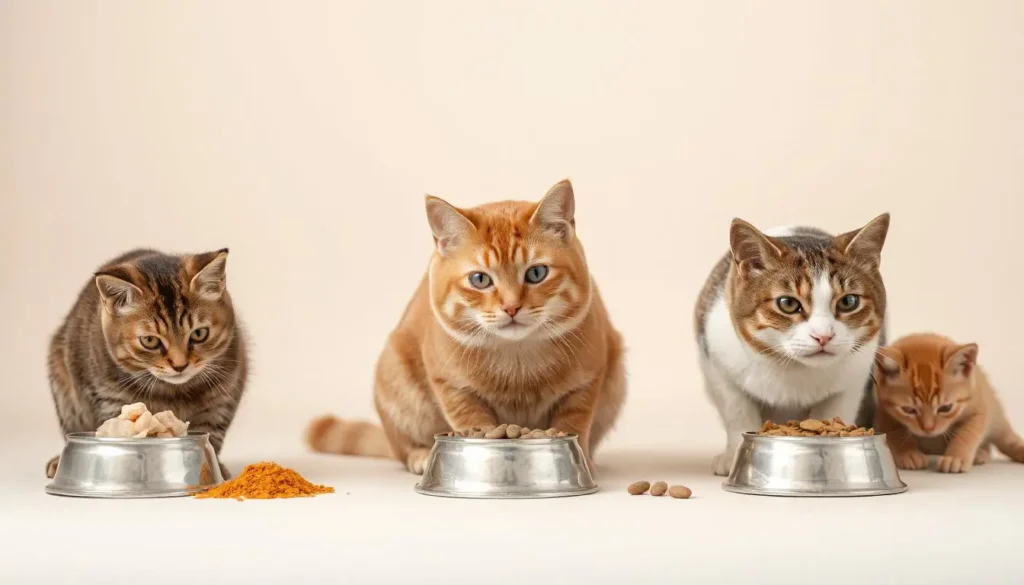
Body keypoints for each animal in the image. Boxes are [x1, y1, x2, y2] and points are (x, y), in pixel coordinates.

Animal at [47, 249, 248, 477]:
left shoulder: (223, 398)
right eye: (150, 341)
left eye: (199, 334)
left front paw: (214, 468)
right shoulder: (110, 397)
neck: (172, 391)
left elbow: (212, 433)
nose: (180, 365)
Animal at [303, 181, 622, 473]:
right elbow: (472, 418)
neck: (517, 359)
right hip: (395, 377)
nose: (511, 307)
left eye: (536, 273)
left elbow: (574, 421)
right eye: (480, 280)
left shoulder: (587, 383)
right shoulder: (451, 385)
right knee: (402, 448)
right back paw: (420, 456)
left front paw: (581, 460)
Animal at [696, 215, 888, 475]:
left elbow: (834, 410)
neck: (793, 369)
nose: (823, 336)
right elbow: (737, 410)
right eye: (787, 303)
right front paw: (734, 456)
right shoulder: (716, 362)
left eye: (849, 301)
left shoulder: (856, 374)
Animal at [872, 331, 1024, 473]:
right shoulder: (884, 412)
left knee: (1006, 438)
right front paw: (908, 453)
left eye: (946, 408)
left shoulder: (979, 407)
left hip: (997, 416)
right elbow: (895, 433)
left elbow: (968, 433)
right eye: (908, 410)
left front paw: (955, 457)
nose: (928, 429)